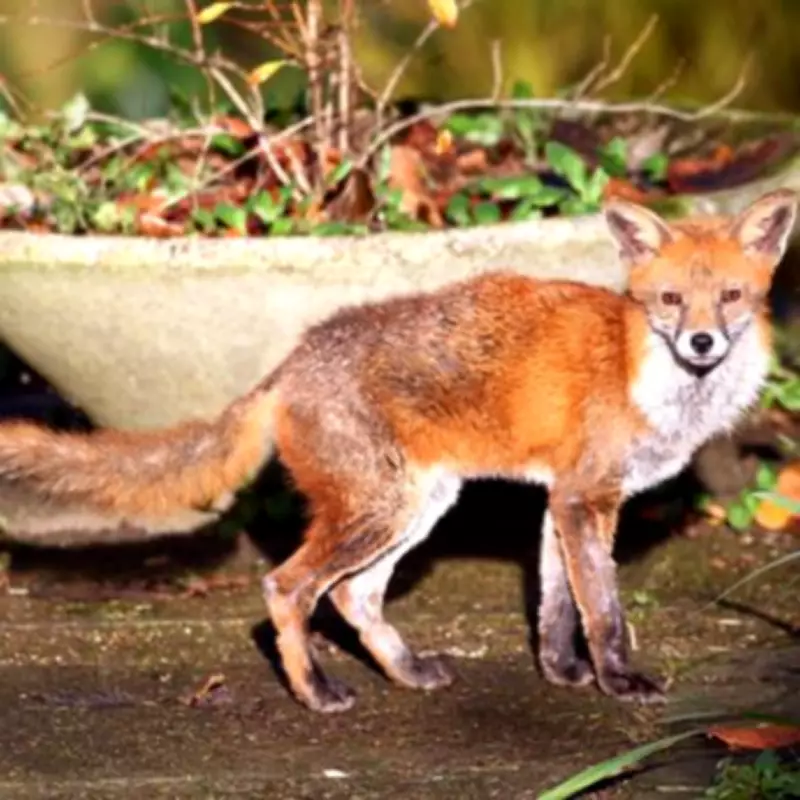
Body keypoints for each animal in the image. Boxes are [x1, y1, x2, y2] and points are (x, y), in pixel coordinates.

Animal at [0, 188, 795, 713]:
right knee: (286, 588)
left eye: (730, 297)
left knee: (352, 595)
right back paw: (317, 693)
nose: (703, 343)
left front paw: (562, 674)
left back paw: (407, 673)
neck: (647, 371)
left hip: (419, 507)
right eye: (669, 301)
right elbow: (604, 608)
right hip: (380, 511)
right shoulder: (586, 497)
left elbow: (556, 606)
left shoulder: (562, 499)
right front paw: (619, 682)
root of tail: (293, 359)